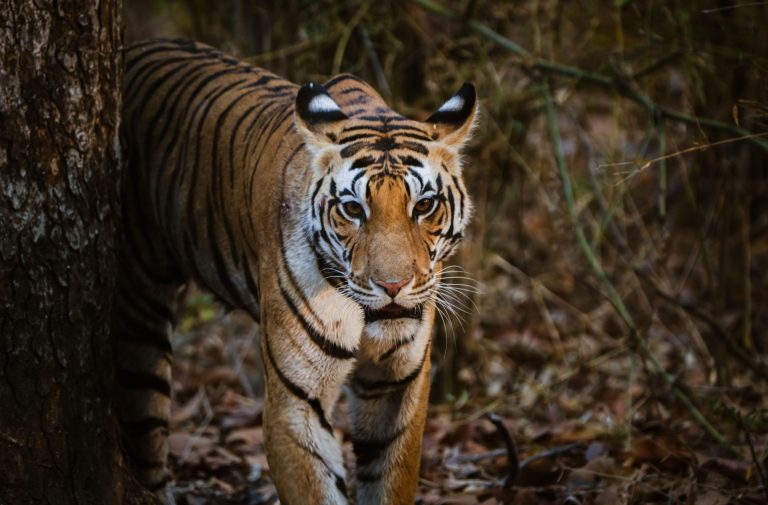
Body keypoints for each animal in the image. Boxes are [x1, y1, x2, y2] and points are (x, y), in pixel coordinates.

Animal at [115, 38, 477, 505]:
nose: (393, 285)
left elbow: (389, 479)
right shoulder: (294, 401)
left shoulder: (398, 386)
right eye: (353, 209)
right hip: (140, 321)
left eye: (425, 205)